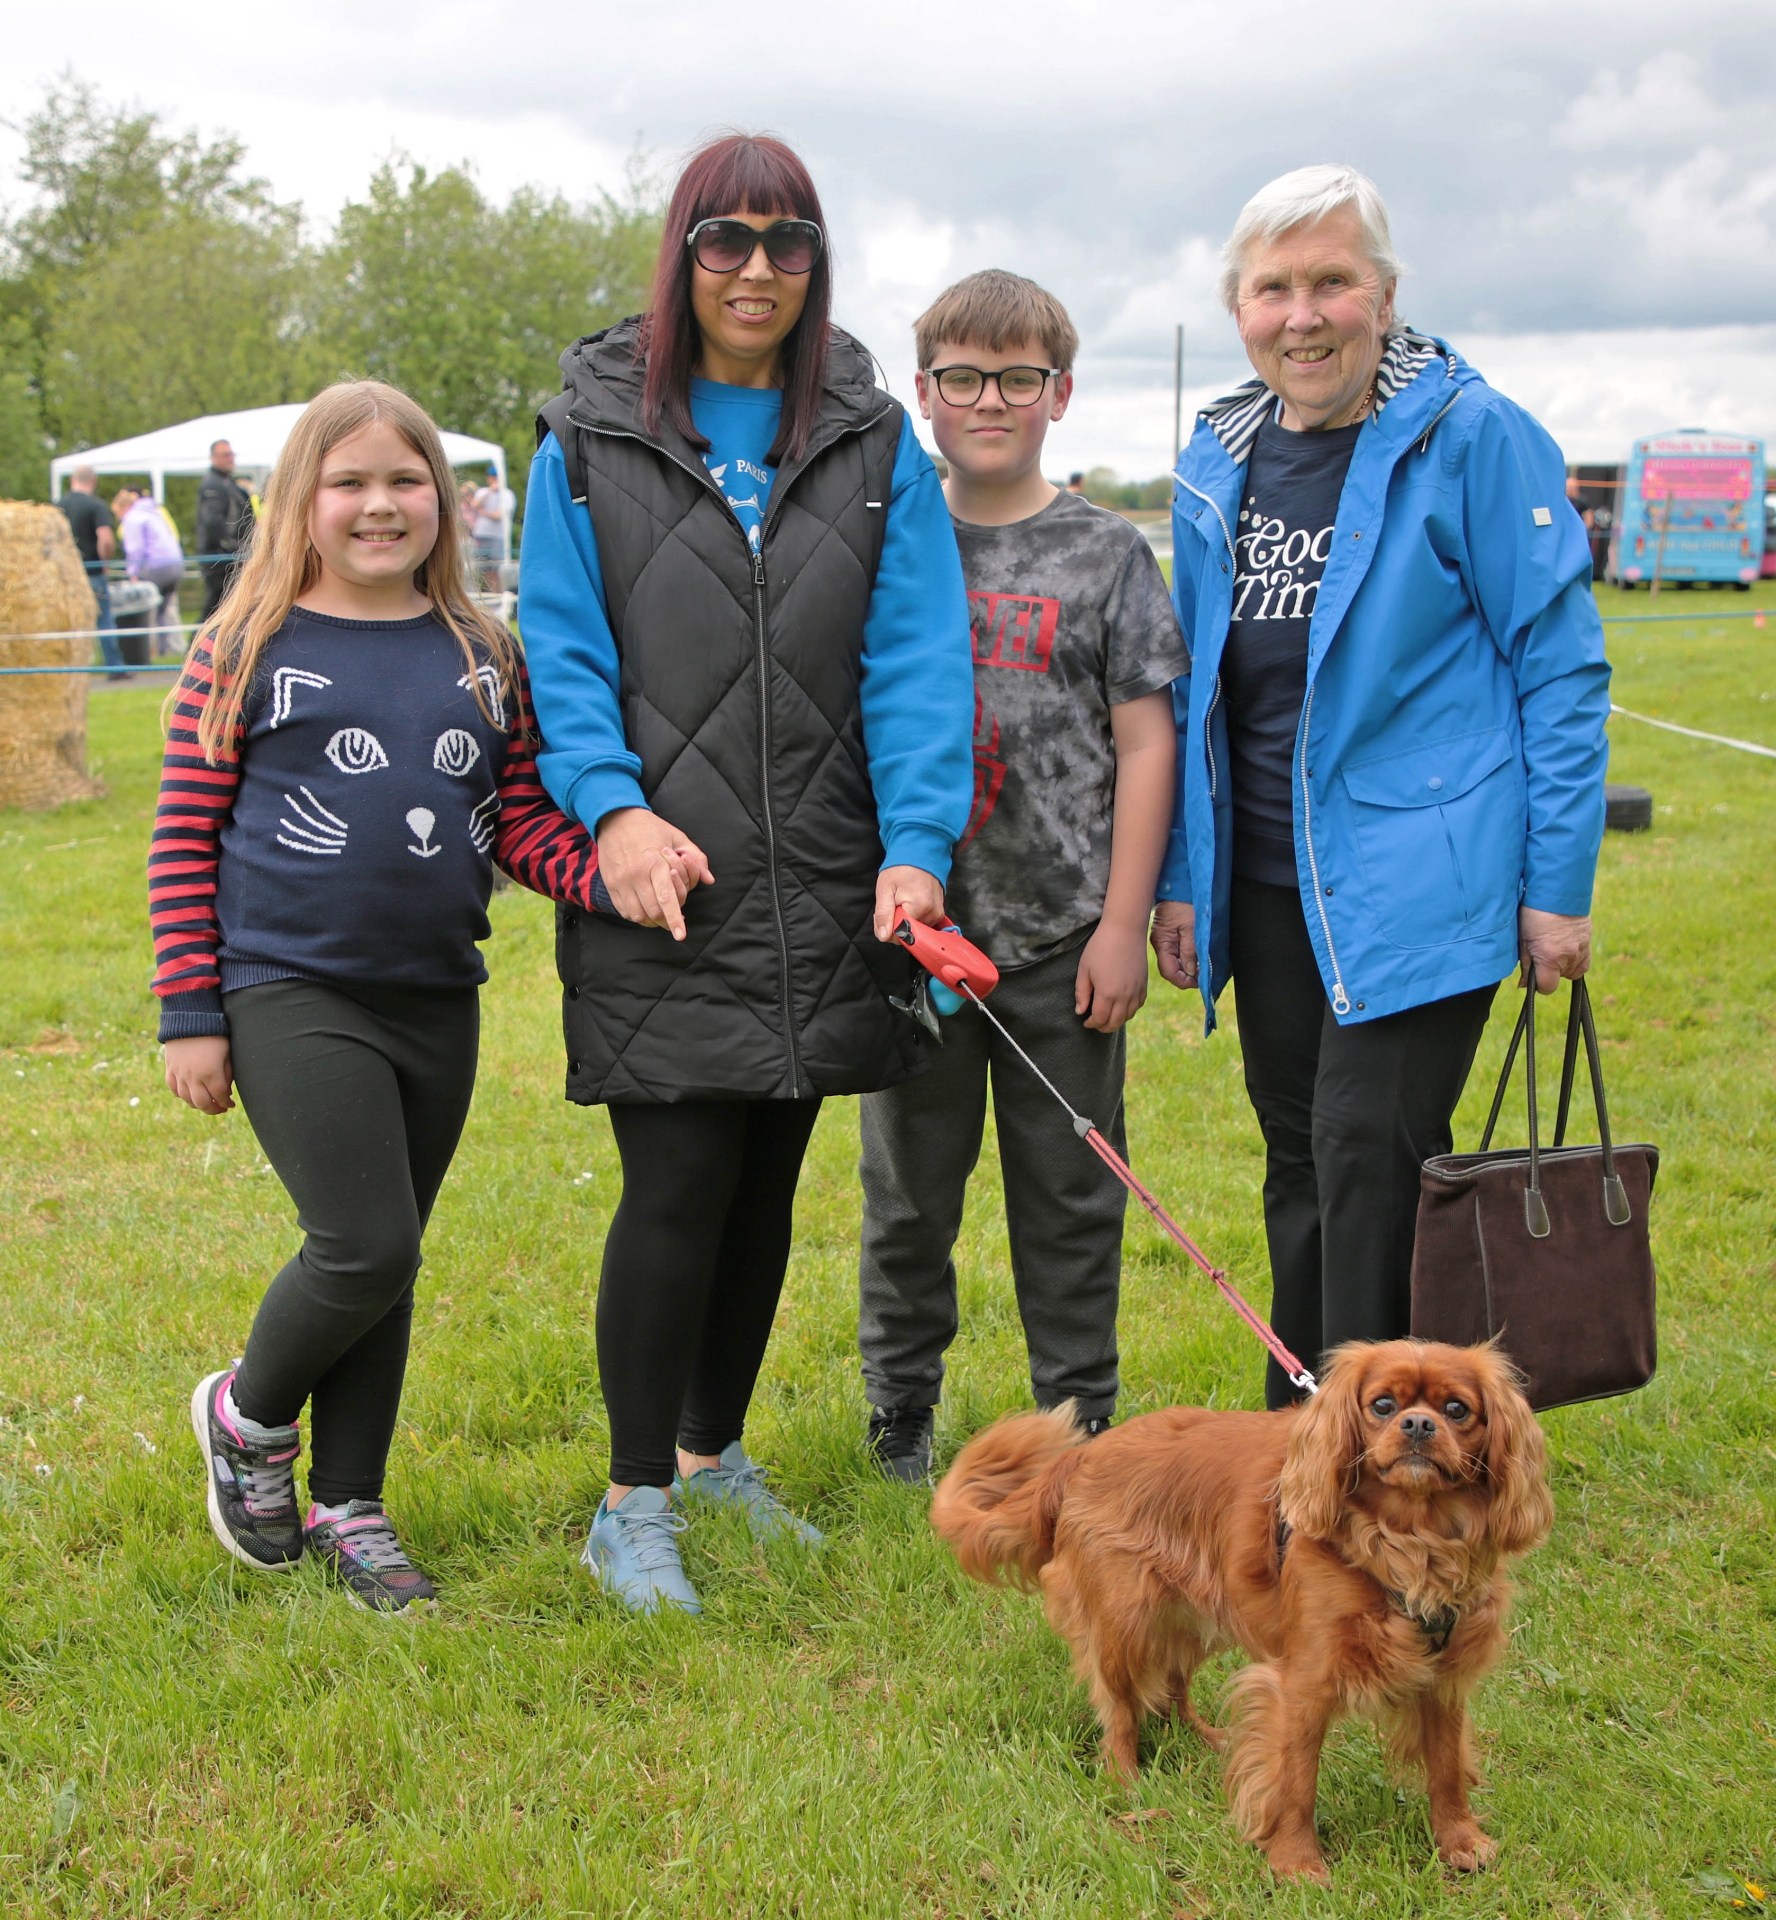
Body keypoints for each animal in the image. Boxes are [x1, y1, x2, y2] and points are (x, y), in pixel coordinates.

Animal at [930, 1340, 1552, 1882]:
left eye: (1457, 1409)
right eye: (1382, 1405)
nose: (1419, 1425)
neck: (1410, 1540)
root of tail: (1081, 1456)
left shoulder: (1443, 1680)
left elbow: (1445, 1768)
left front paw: (1460, 1842)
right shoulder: (1303, 1683)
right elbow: (1296, 1781)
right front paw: (1297, 1863)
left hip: (1192, 1614)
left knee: (1172, 1687)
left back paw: (1210, 1738)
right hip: (1126, 1621)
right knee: (1121, 1711)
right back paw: (1127, 1784)